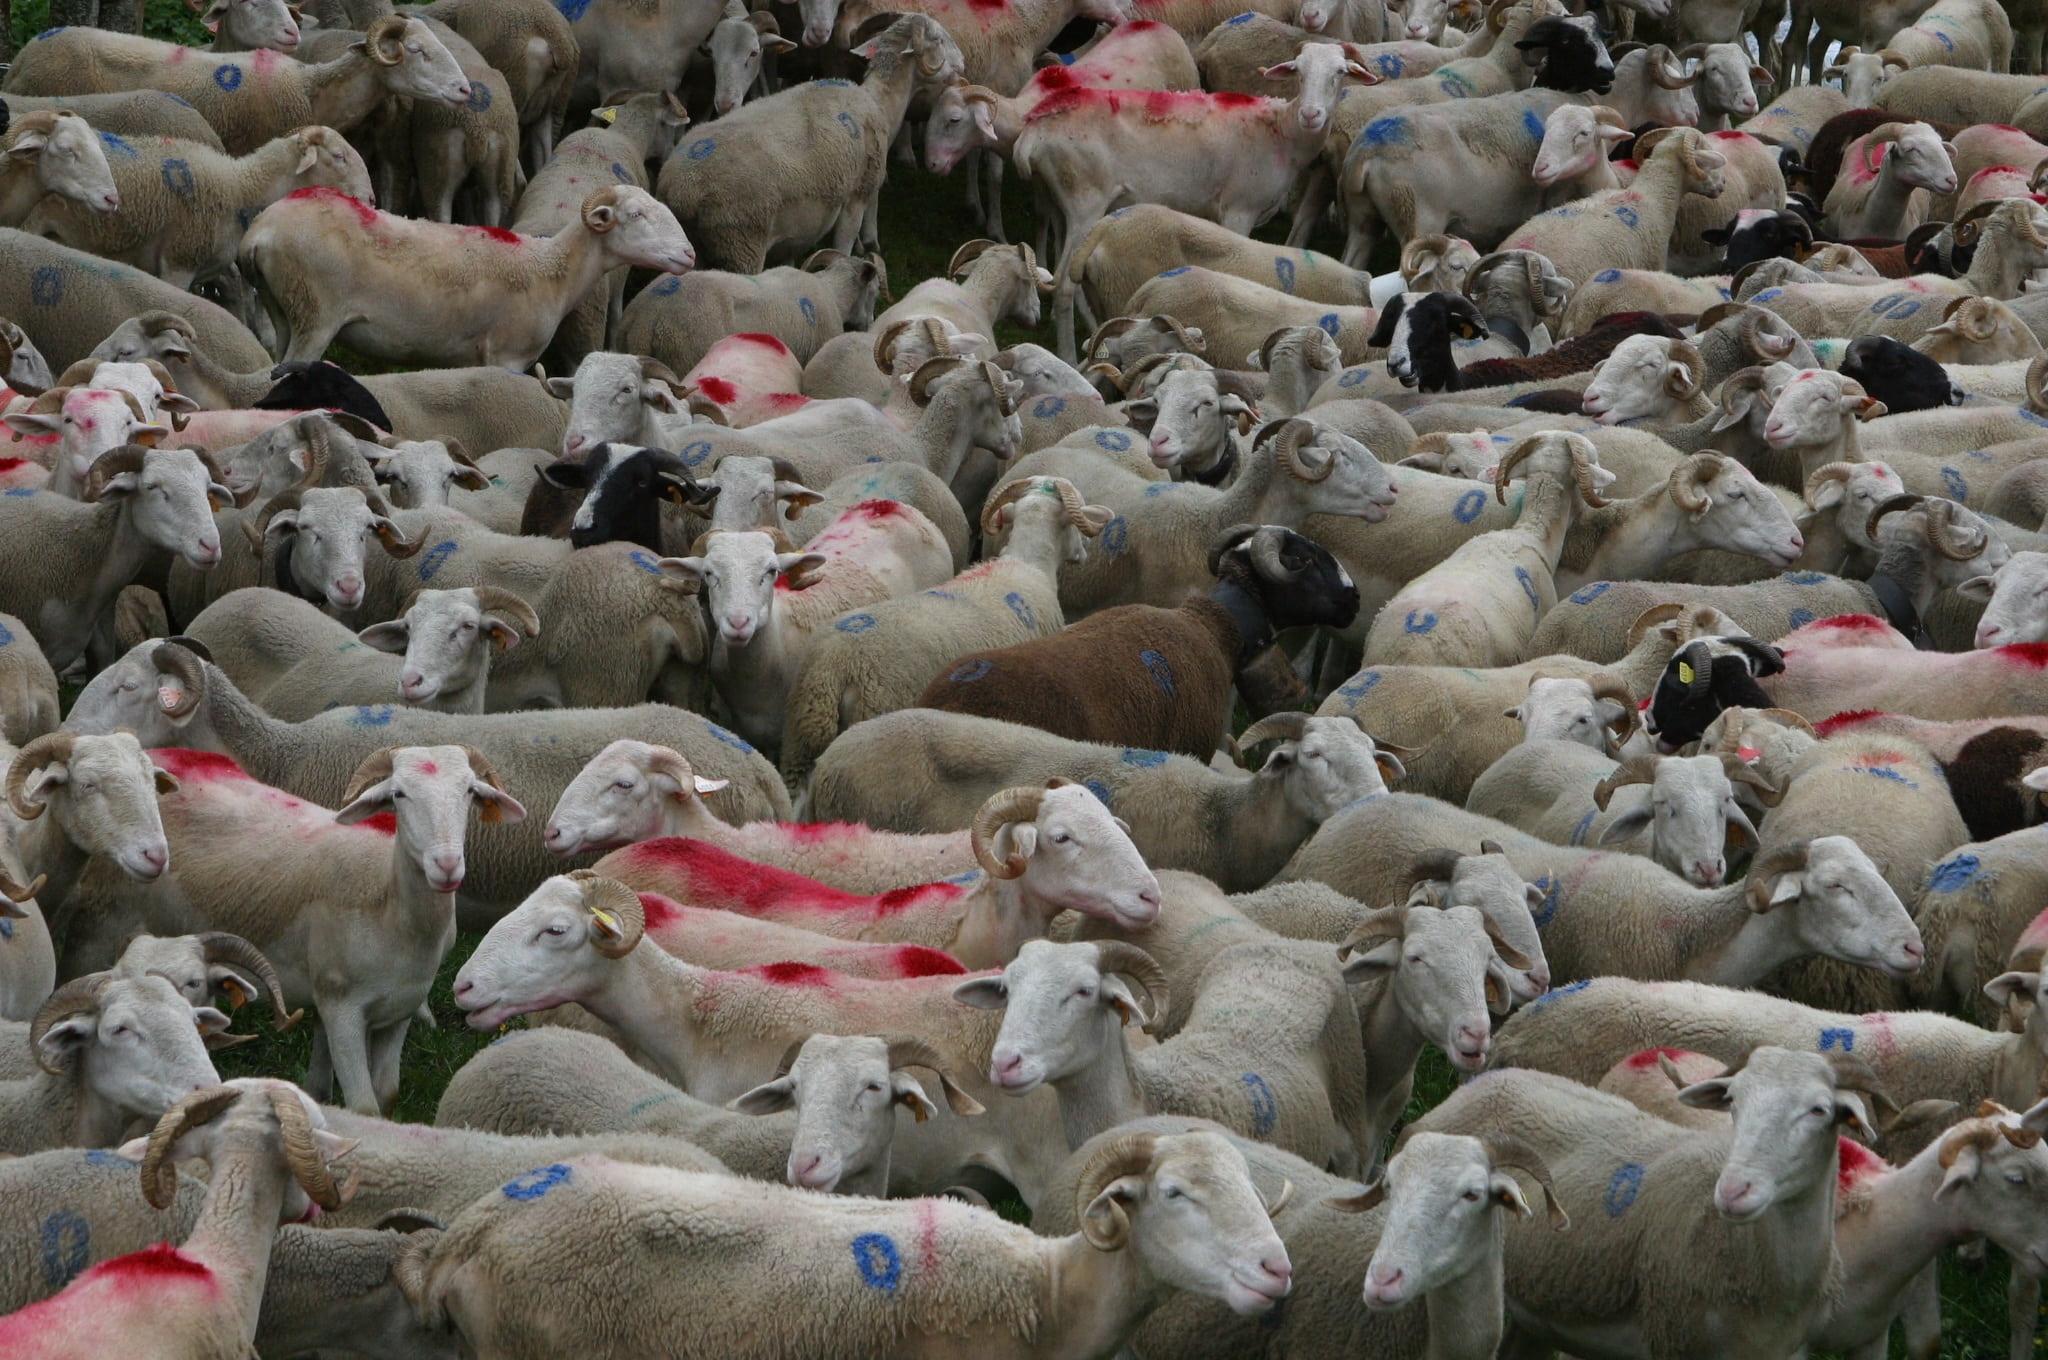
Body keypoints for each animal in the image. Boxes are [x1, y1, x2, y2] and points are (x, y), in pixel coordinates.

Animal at [242, 185, 695, 370]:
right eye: (635, 215)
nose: (690, 254)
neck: (551, 271)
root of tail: (259, 232)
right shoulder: (507, 357)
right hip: (315, 311)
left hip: (284, 305)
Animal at [655, 17, 964, 271]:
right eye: (939, 39)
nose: (963, 64)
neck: (879, 101)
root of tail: (681, 186)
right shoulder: (855, 198)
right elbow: (842, 249)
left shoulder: (793, 235)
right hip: (740, 243)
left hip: (696, 247)